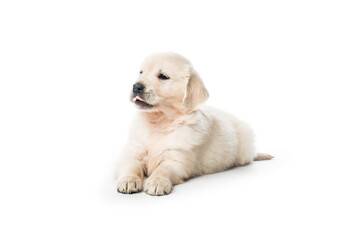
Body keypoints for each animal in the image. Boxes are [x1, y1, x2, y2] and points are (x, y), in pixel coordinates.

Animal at [115, 52, 274, 195]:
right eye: (141, 72)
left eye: (163, 76)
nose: (136, 86)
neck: (159, 121)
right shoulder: (133, 152)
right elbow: (130, 165)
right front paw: (129, 180)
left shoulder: (178, 161)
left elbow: (163, 169)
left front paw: (157, 182)